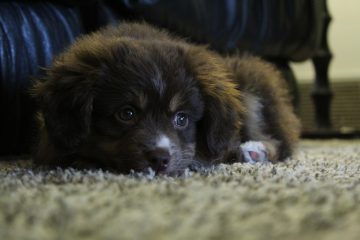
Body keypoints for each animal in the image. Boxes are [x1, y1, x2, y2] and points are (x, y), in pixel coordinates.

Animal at [33, 22, 300, 175]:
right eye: (127, 113)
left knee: (278, 141)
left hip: (253, 83)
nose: (160, 159)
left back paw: (253, 151)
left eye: (181, 118)